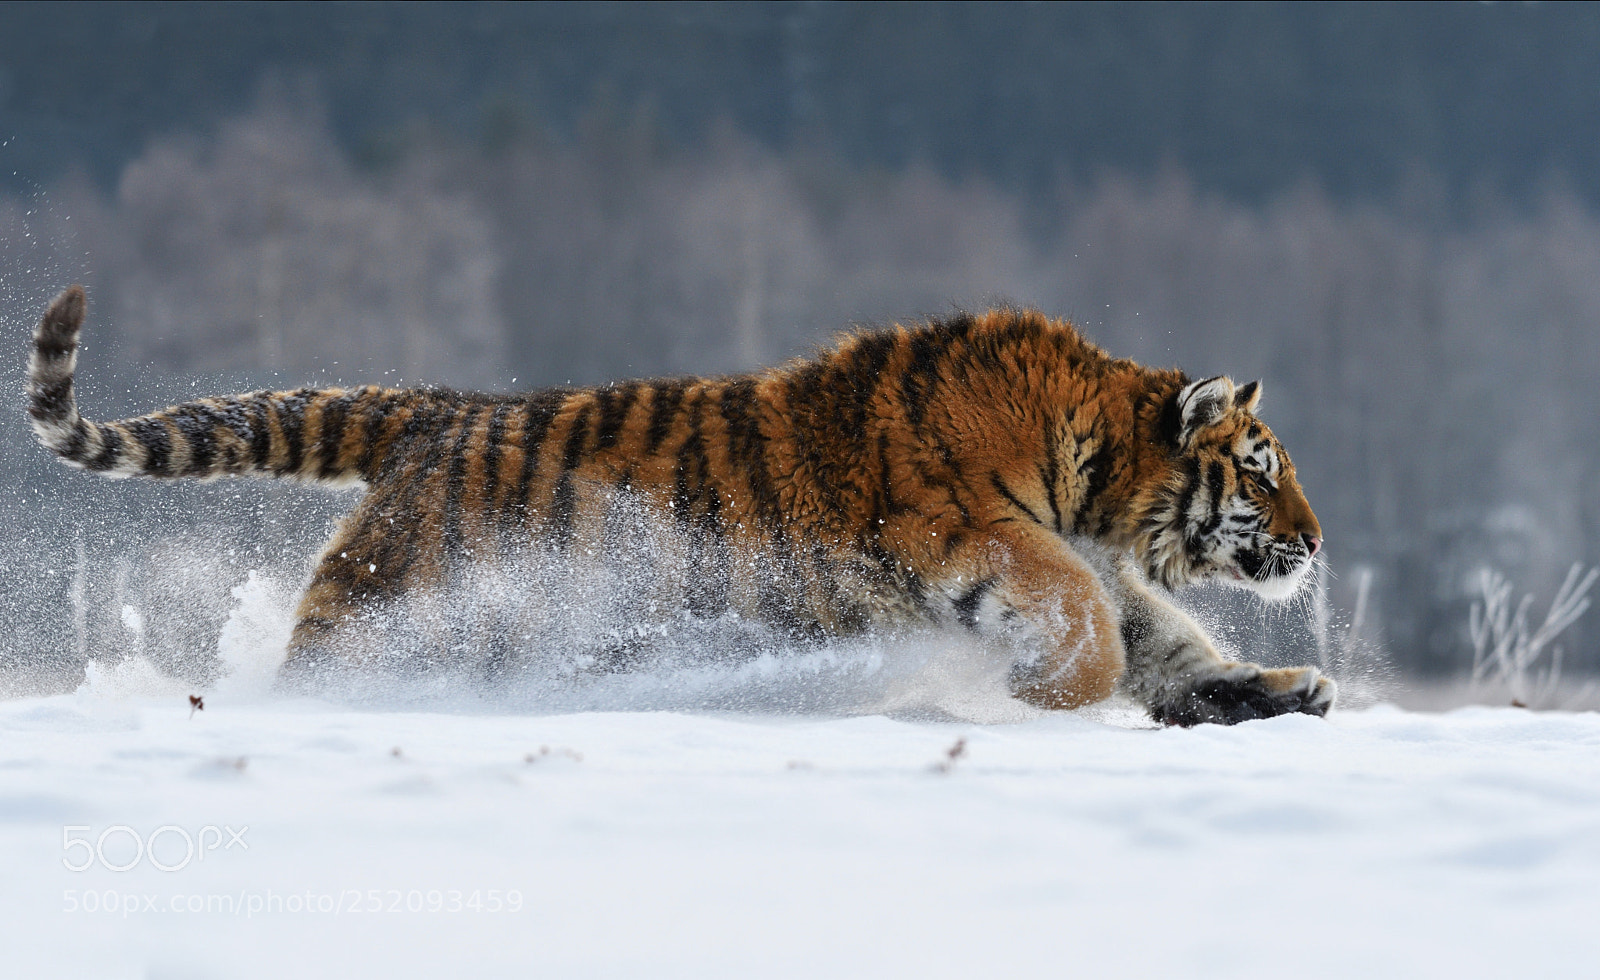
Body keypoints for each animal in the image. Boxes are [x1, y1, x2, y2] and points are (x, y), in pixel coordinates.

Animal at [28, 284, 1332, 725]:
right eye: (1262, 467)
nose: (1317, 540)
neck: (1097, 478)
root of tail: (432, 410)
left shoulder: (1092, 563)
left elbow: (1171, 643)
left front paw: (1283, 690)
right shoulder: (970, 533)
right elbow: (1091, 629)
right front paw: (1044, 691)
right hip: (392, 608)